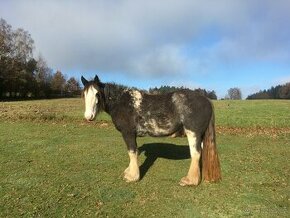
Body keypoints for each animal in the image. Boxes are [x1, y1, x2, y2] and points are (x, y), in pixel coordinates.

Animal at [80, 75, 221, 186]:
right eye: (84, 94)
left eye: (97, 94)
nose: (88, 117)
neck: (122, 102)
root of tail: (206, 100)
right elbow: (134, 152)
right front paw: (129, 171)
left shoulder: (128, 133)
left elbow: (132, 152)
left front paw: (132, 176)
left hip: (193, 133)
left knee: (196, 153)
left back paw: (190, 180)